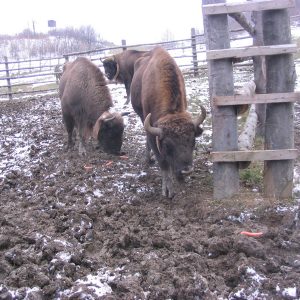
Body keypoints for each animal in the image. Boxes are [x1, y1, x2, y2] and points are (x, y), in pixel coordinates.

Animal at [131, 47, 206, 198]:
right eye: (167, 144)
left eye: (193, 141)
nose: (186, 170)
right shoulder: (153, 134)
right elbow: (163, 163)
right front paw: (167, 191)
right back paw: (148, 159)